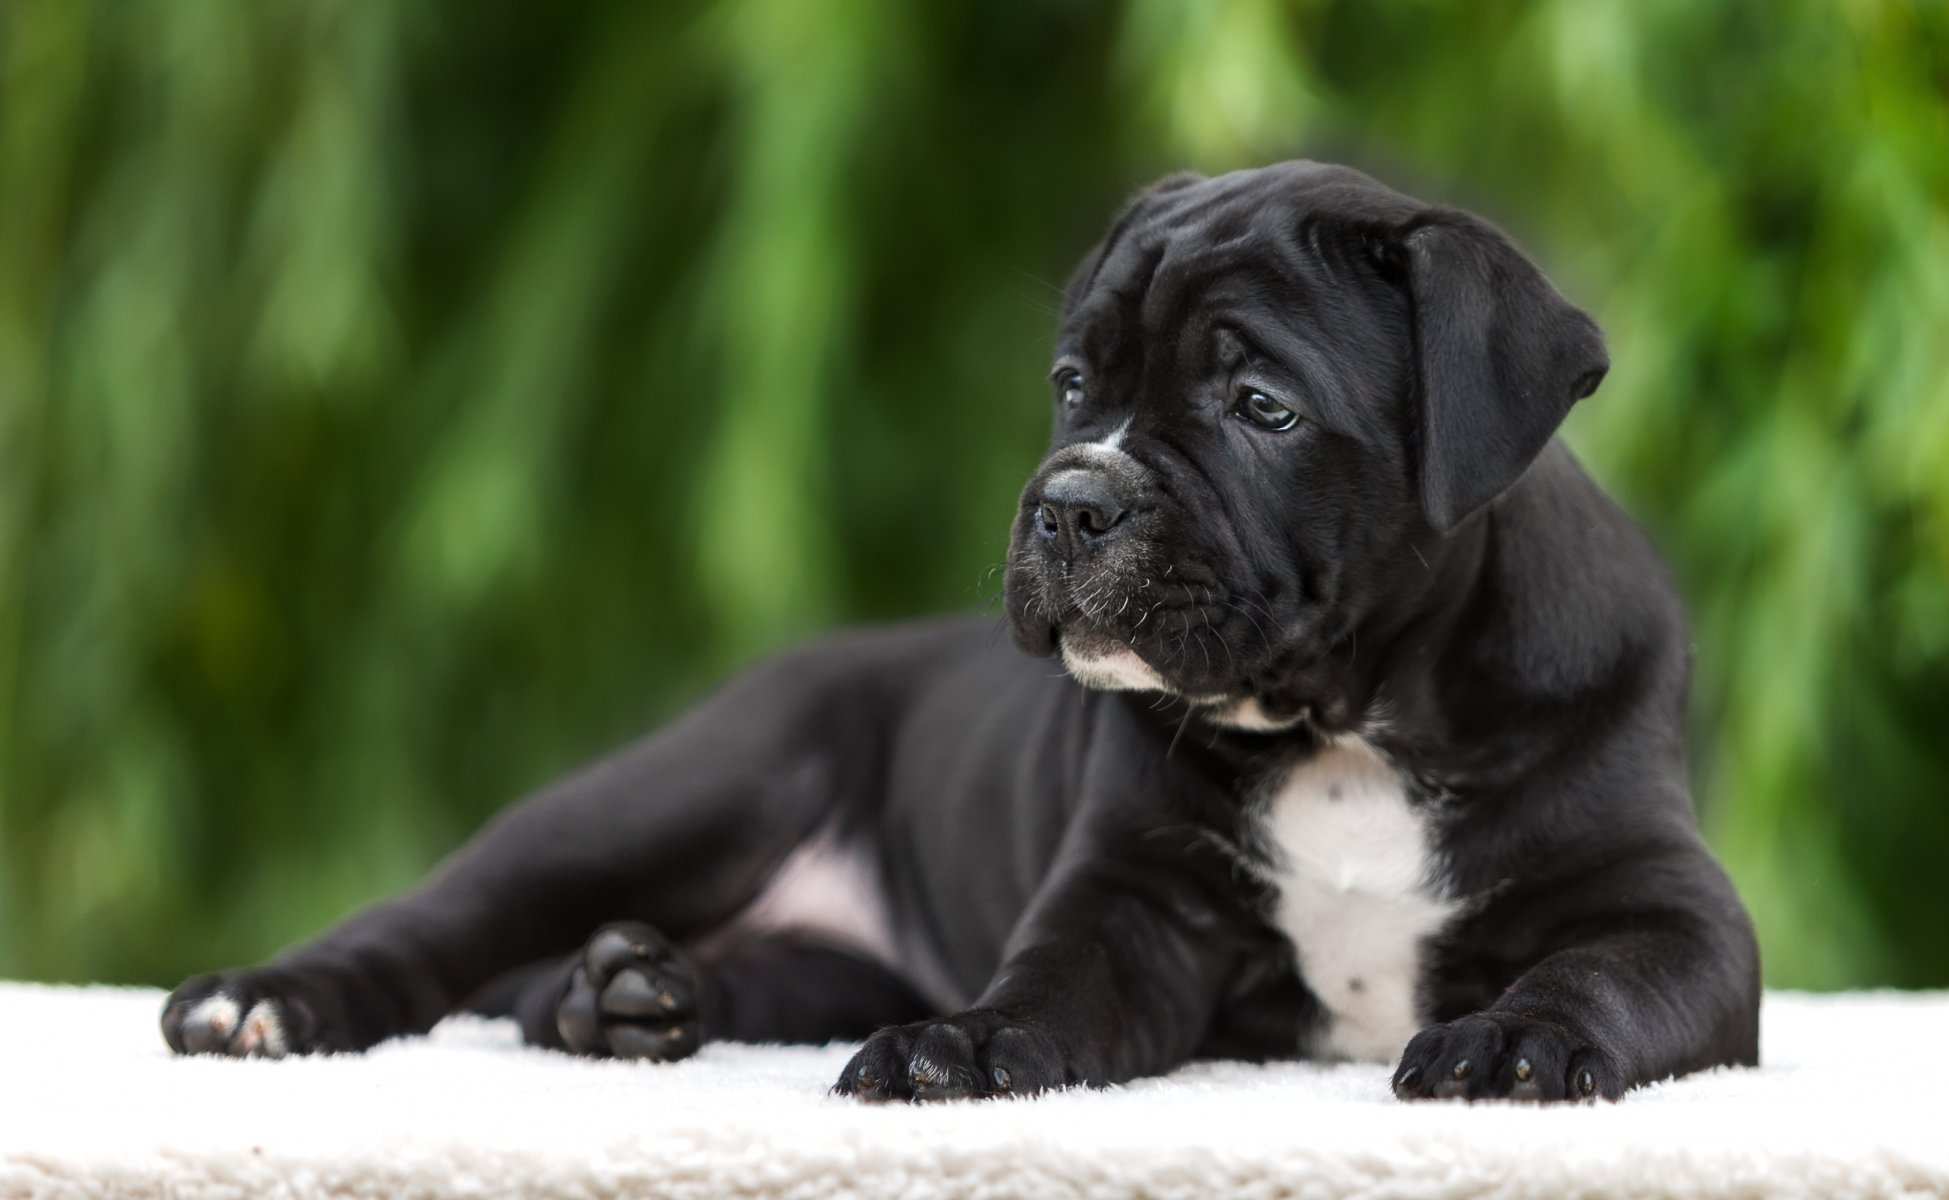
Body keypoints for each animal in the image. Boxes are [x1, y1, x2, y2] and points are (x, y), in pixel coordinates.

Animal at [163, 161, 1769, 1106]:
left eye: (1261, 406)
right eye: (1073, 384)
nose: (1070, 502)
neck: (1344, 723)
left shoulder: (1674, 915)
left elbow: (1602, 973)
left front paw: (1514, 1039)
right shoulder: (1128, 905)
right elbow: (1049, 982)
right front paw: (972, 1045)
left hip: (809, 949)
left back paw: (627, 996)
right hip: (672, 792)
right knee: (440, 922)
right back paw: (268, 1001)